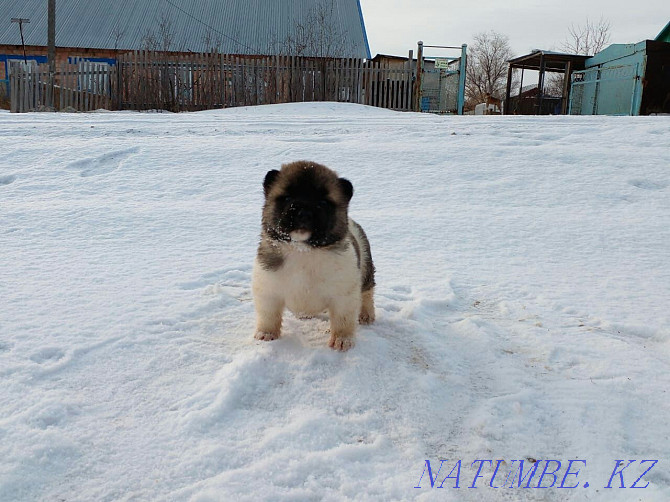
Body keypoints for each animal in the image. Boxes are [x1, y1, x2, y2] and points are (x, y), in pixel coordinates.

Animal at [253, 163, 376, 352]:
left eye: (323, 202)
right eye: (287, 197)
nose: (304, 210)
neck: (303, 251)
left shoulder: (344, 296)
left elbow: (343, 320)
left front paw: (342, 340)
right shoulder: (268, 291)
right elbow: (269, 316)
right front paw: (266, 334)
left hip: (366, 269)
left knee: (368, 292)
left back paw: (366, 314)